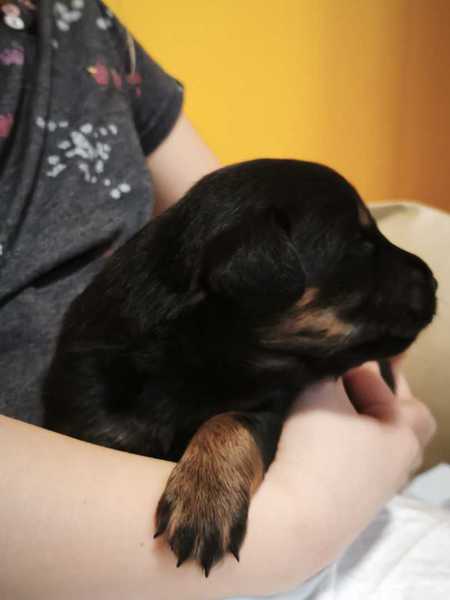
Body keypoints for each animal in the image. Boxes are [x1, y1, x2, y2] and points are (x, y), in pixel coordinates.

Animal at [43, 159, 437, 576]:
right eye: (361, 244)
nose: (434, 279)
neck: (195, 351)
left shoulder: (266, 405)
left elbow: (228, 421)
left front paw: (204, 499)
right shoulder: (91, 412)